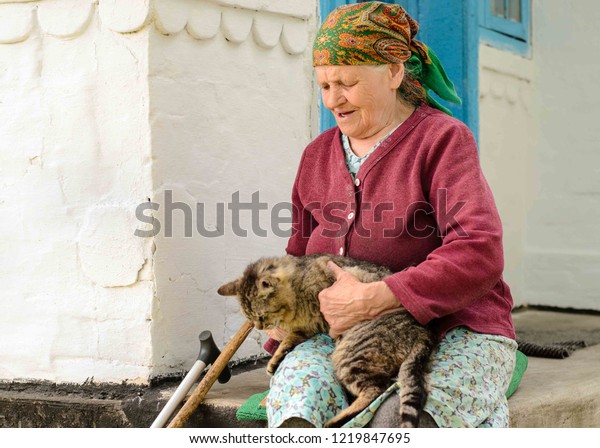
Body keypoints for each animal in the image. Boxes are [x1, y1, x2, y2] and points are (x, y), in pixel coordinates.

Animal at [216, 254, 436, 428]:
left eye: (261, 316)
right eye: (250, 317)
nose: (260, 327)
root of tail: (422, 331)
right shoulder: (304, 327)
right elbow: (288, 339)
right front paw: (276, 357)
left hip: (349, 354)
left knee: (376, 389)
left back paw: (335, 421)